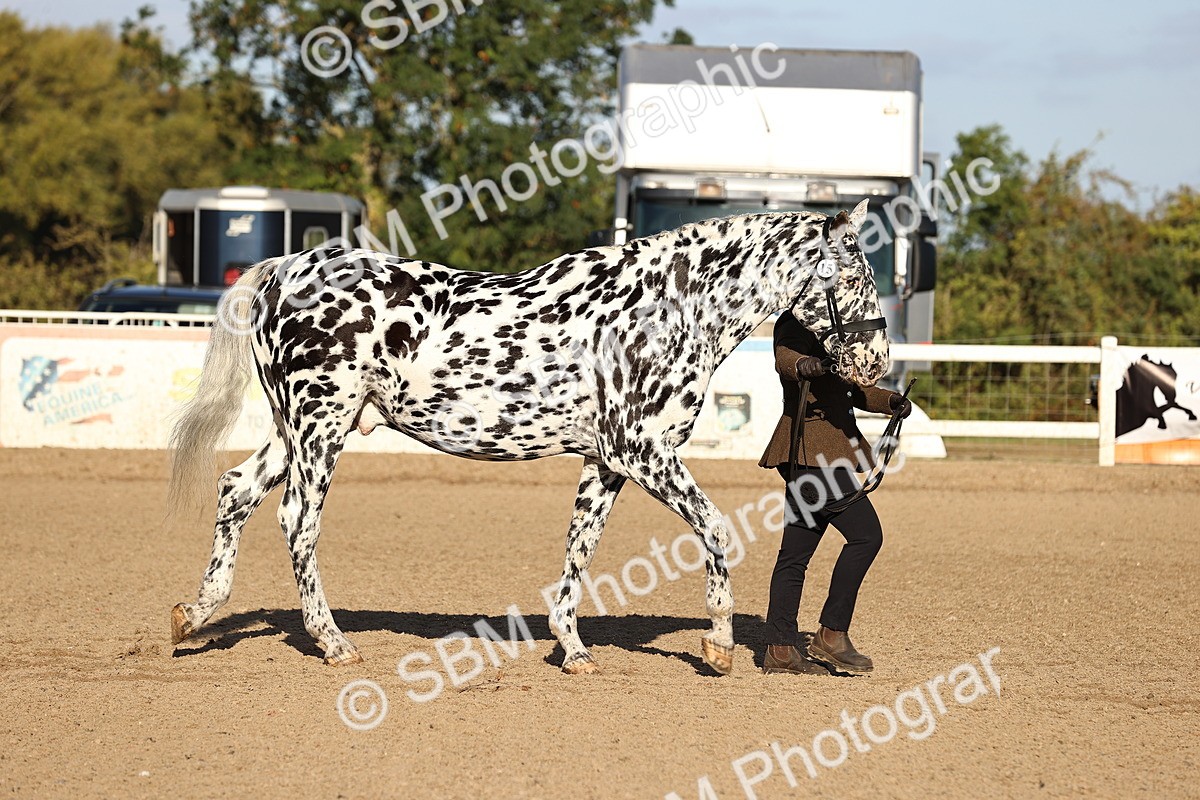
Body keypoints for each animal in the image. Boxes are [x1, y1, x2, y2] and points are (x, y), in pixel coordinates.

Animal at [167, 199, 890, 676]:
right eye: (855, 275)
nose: (876, 363)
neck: (671, 309)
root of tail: (287, 270)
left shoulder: (607, 461)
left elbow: (580, 547)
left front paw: (572, 649)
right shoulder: (643, 451)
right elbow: (715, 530)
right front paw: (717, 645)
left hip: (296, 429)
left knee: (235, 492)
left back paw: (193, 616)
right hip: (321, 426)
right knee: (297, 520)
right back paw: (332, 642)